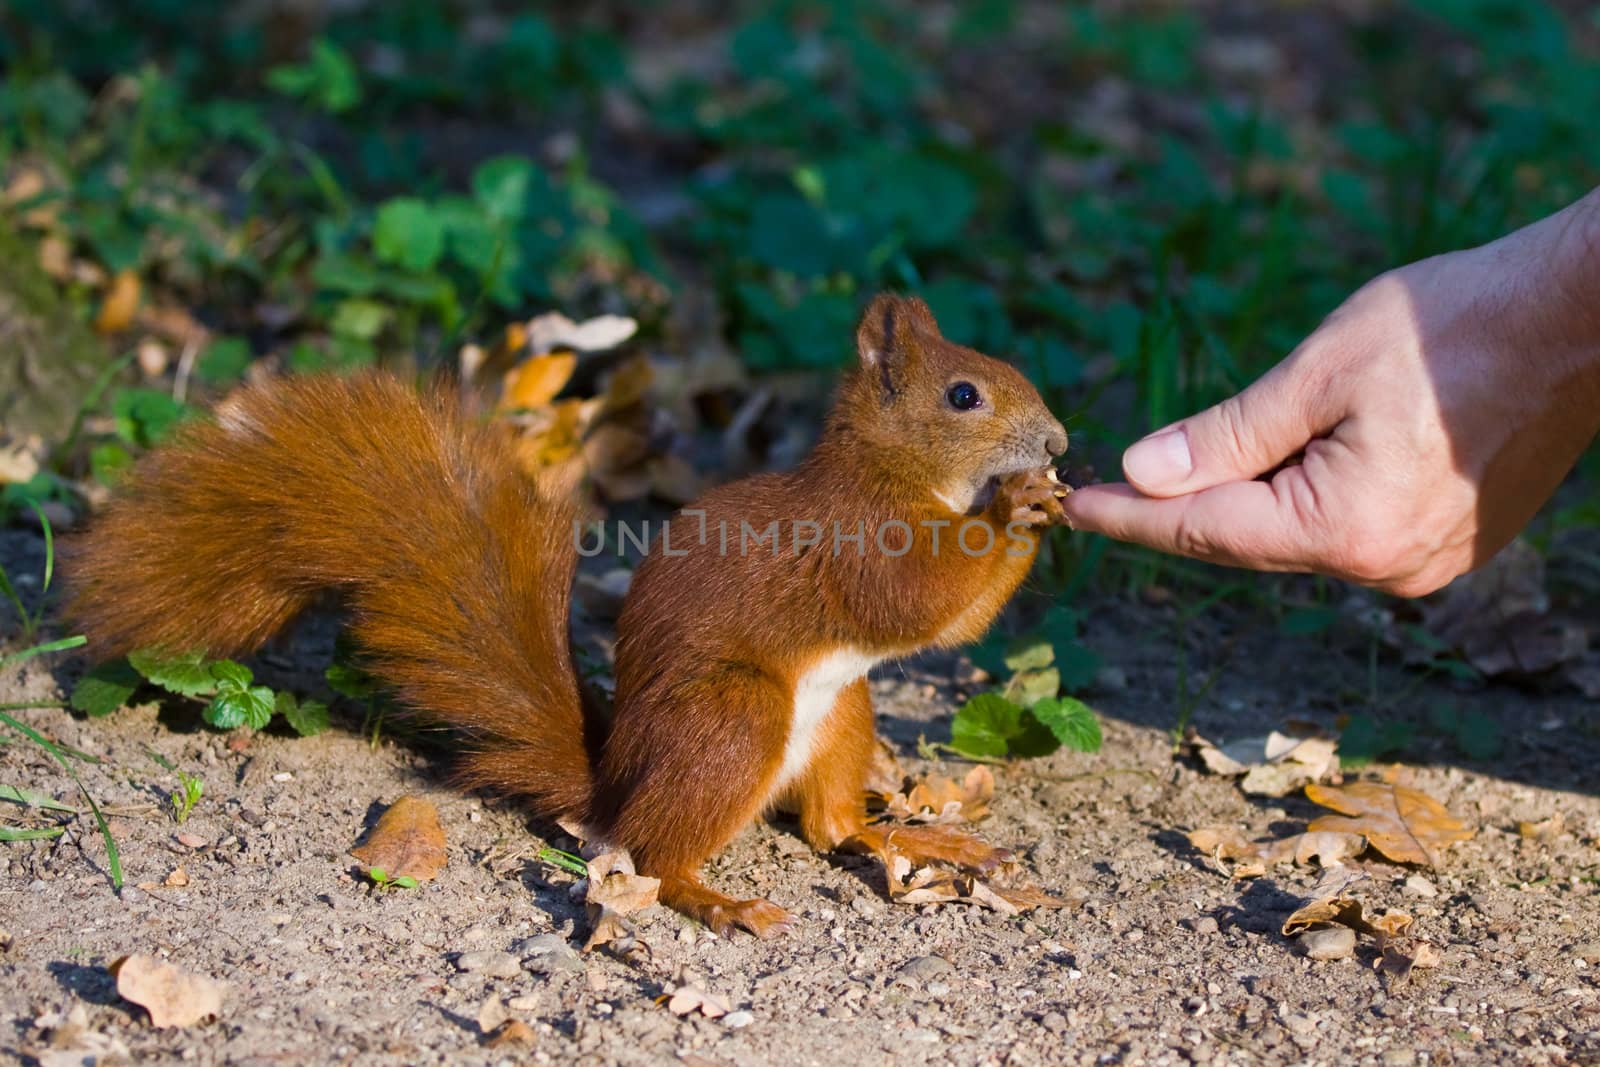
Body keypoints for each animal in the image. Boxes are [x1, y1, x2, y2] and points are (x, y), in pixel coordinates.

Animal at [65, 292, 1062, 934]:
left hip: (843, 713)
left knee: (832, 828)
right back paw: (720, 901)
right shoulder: (859, 539)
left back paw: (930, 837)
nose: (1057, 442)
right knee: (656, 855)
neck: (897, 470)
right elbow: (923, 603)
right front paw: (1019, 506)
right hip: (733, 717)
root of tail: (614, 781)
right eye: (964, 396)